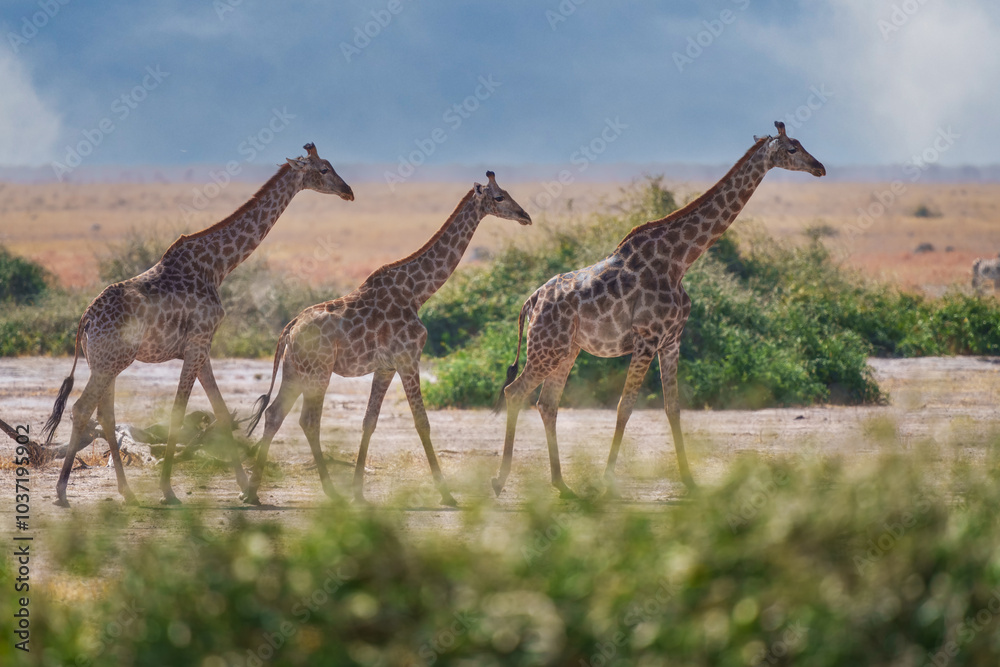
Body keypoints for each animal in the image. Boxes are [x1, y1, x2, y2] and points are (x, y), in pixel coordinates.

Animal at [43, 143, 354, 507]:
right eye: (323, 170)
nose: (348, 191)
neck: (218, 265)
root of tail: (86, 320)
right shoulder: (198, 341)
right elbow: (179, 413)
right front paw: (168, 491)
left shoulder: (201, 346)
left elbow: (220, 411)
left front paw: (244, 488)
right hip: (109, 362)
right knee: (81, 409)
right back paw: (62, 492)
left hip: (106, 363)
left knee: (105, 414)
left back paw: (127, 492)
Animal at [241, 171, 531, 506]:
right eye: (499, 197)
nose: (525, 216)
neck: (417, 292)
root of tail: (289, 329)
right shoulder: (408, 359)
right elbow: (422, 422)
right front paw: (446, 493)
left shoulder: (385, 367)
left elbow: (369, 421)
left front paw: (358, 490)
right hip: (318, 371)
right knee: (308, 421)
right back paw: (328, 491)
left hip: (294, 369)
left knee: (275, 414)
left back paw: (252, 492)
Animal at [492, 122, 826, 499]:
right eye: (792, 148)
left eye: (801, 144)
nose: (820, 167)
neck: (680, 260)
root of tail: (531, 301)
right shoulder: (647, 338)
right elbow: (625, 407)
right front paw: (607, 481)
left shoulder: (671, 340)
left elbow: (673, 408)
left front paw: (690, 480)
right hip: (546, 348)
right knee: (515, 392)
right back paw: (500, 481)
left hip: (567, 350)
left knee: (547, 403)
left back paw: (562, 484)